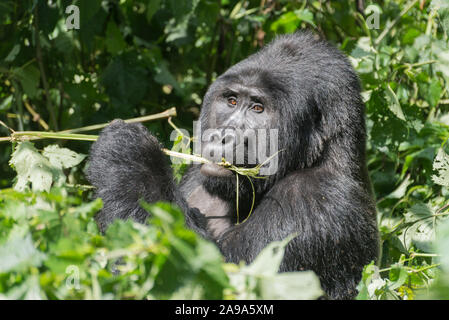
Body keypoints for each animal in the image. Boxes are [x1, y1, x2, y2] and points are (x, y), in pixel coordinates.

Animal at [86, 31, 378, 298]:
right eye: (232, 101)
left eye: (258, 109)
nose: (223, 135)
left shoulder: (314, 199)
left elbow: (213, 279)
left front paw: (130, 155)